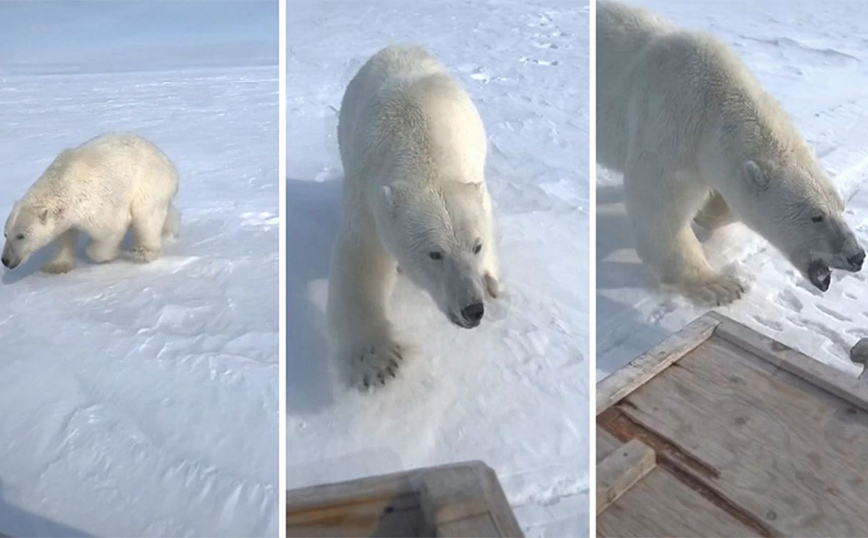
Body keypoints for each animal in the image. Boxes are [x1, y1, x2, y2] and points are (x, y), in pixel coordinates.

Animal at [1, 130, 178, 272]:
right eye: (5, 234)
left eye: (21, 236)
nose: (5, 260)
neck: (61, 181)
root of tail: (167, 162)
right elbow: (65, 235)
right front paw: (57, 266)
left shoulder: (93, 203)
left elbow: (112, 228)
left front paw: (109, 254)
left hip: (149, 183)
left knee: (146, 217)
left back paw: (144, 251)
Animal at [328, 46, 502, 388]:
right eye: (435, 253)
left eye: (476, 246)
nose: (472, 309)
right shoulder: (368, 198)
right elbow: (361, 260)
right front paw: (378, 361)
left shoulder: (473, 177)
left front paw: (490, 280)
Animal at [600, 0, 864, 304]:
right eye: (816, 216)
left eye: (841, 206)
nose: (857, 256)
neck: (714, 101)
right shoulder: (670, 124)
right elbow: (658, 205)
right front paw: (720, 285)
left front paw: (707, 211)